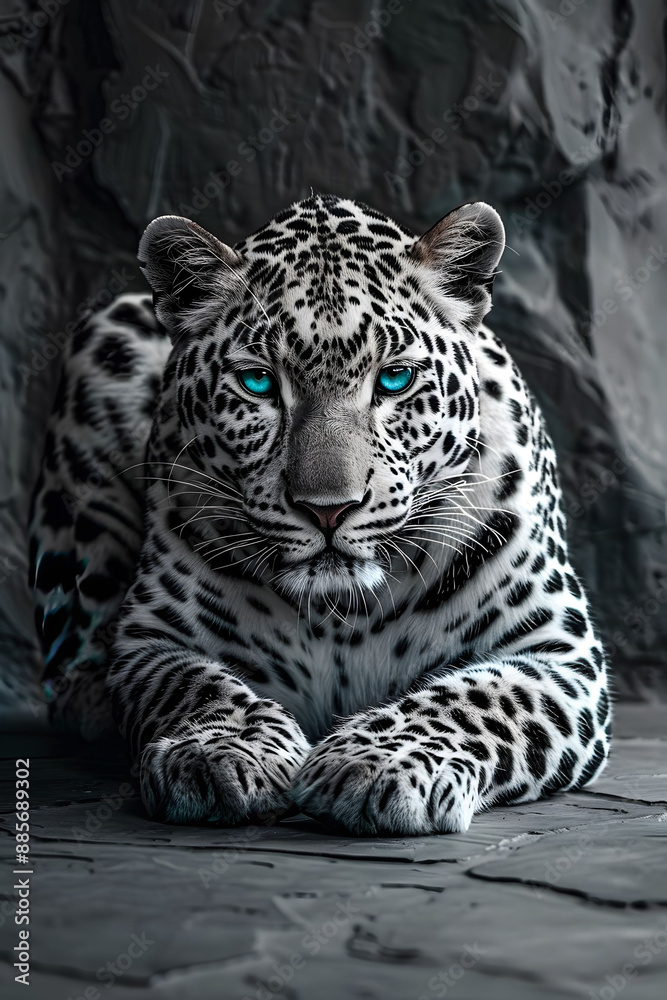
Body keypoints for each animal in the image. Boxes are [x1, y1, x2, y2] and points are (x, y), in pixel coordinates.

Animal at [29, 193, 611, 835]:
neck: (343, 613)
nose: (327, 510)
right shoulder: (154, 640)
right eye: (258, 382)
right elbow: (196, 686)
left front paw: (378, 763)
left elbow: (476, 699)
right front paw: (221, 751)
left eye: (395, 378)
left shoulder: (557, 652)